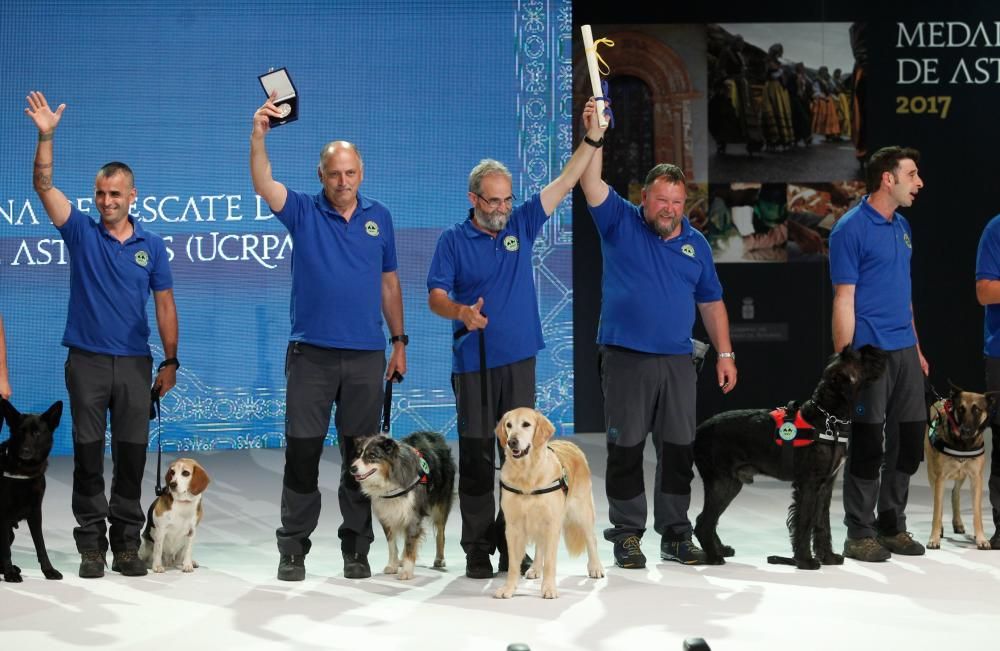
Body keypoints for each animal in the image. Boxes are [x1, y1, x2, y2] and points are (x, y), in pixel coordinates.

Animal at [0, 400, 64, 584]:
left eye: (36, 433)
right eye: (19, 432)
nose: (25, 451)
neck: (24, 472)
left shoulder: (35, 512)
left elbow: (40, 545)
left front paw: (49, 570)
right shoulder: (3, 515)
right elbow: (6, 550)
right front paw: (9, 574)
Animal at [350, 432, 456, 580]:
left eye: (372, 455)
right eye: (358, 454)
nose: (352, 468)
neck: (389, 478)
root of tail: (434, 434)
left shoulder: (413, 514)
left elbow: (411, 543)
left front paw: (407, 571)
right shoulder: (387, 513)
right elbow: (392, 544)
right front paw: (393, 565)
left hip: (441, 503)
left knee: (440, 533)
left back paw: (439, 559)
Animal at [692, 346, 888, 572]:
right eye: (859, 357)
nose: (879, 350)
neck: (828, 418)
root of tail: (699, 430)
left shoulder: (825, 486)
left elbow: (822, 523)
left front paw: (828, 557)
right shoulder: (809, 484)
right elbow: (805, 521)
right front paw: (805, 560)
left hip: (731, 483)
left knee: (708, 518)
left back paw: (720, 549)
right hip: (721, 482)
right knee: (703, 522)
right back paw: (714, 557)